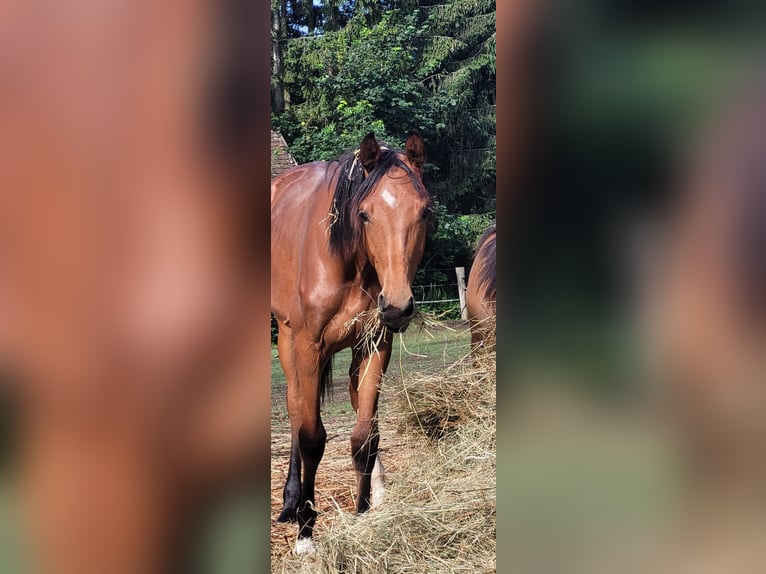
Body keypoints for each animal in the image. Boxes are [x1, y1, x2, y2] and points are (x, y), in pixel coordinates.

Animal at [272, 130, 432, 552]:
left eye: (424, 212)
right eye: (364, 214)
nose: (397, 307)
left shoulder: (374, 345)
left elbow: (364, 437)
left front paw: (363, 515)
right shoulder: (308, 345)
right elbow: (311, 436)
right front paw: (305, 531)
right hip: (287, 338)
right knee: (295, 408)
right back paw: (291, 503)